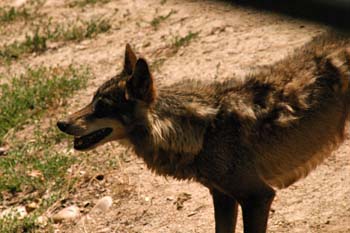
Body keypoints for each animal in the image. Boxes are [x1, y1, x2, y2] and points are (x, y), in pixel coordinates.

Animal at [56, 34, 350, 233]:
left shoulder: (257, 197)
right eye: (91, 101)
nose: (60, 123)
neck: (204, 132)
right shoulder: (223, 198)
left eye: (102, 107)